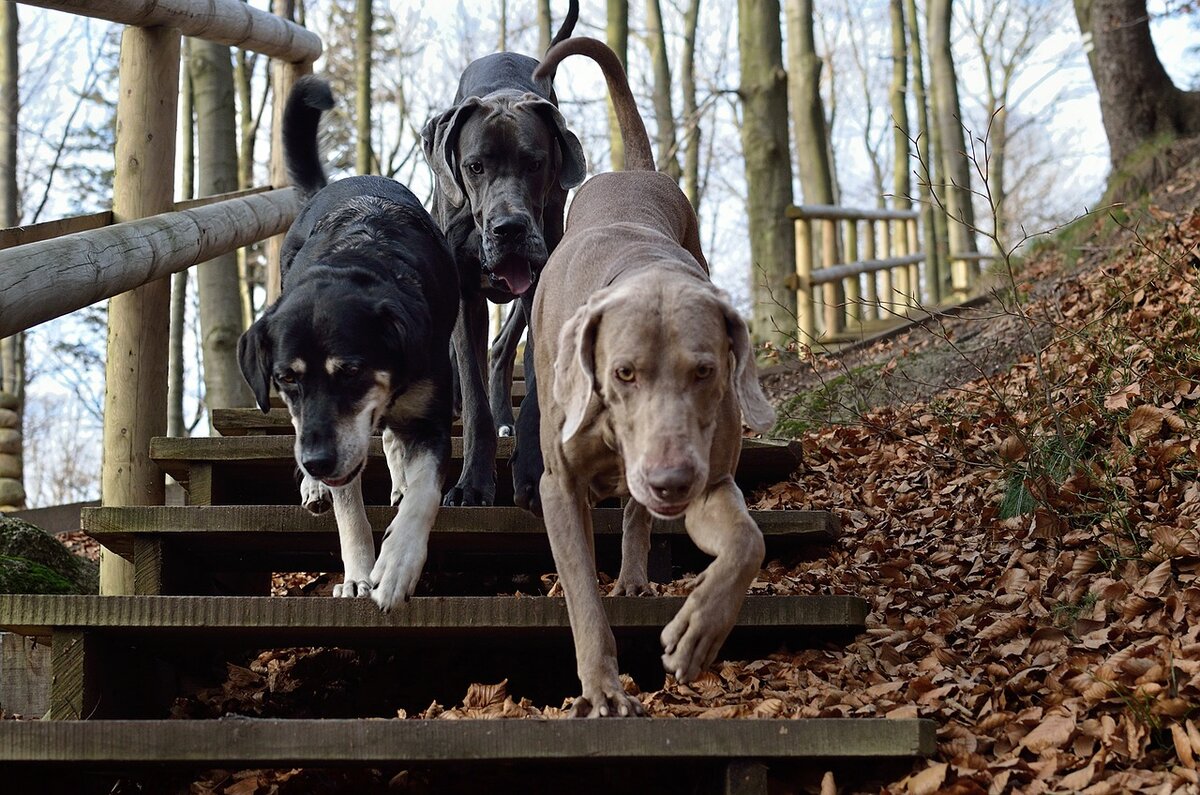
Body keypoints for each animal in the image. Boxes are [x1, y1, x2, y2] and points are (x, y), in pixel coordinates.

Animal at [238, 78, 458, 612]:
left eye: (353, 371)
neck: (360, 258)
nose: (316, 462)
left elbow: (425, 494)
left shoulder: (430, 416)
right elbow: (349, 513)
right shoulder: (333, 437)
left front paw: (398, 566)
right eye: (285, 378)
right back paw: (316, 487)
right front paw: (359, 576)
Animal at [424, 0, 583, 516]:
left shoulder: (539, 286)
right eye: (475, 167)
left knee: (500, 350)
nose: (508, 229)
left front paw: (531, 475)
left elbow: (535, 385)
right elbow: (473, 397)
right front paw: (472, 484)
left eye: (535, 163)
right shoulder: (463, 294)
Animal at [530, 39, 772, 720]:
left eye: (706, 371)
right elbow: (583, 594)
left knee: (638, 516)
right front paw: (602, 689)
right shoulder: (559, 482)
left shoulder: (710, 480)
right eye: (623, 373)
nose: (670, 480)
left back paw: (636, 578)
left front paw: (698, 630)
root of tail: (630, 169)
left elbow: (747, 541)